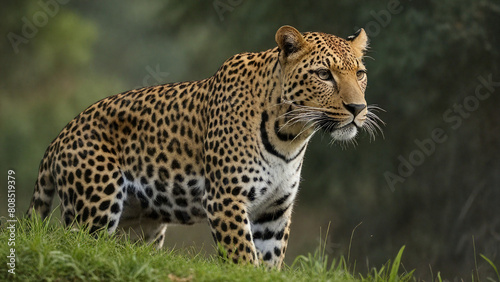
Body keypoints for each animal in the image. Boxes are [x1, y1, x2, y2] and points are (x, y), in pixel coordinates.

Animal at [27, 25, 380, 268]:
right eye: (323, 74)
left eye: (360, 73)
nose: (358, 108)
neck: (290, 133)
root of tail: (59, 137)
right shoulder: (226, 199)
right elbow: (243, 258)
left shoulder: (274, 210)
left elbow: (270, 261)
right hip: (95, 207)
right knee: (79, 245)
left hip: (140, 227)